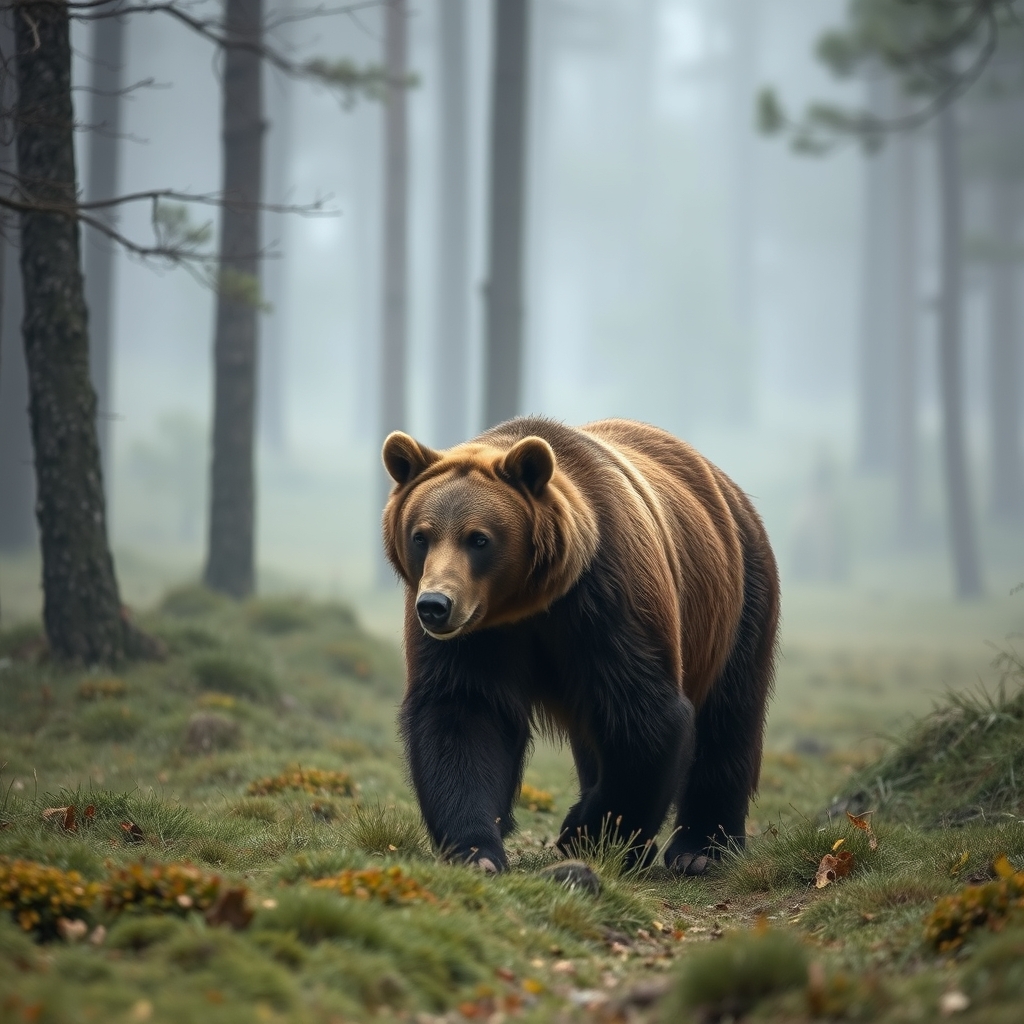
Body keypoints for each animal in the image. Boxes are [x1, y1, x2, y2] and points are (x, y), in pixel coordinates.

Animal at [381, 417, 779, 875]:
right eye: (421, 536)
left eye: (478, 538)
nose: (435, 605)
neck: (525, 603)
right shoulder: (478, 637)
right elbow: (462, 715)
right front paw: (477, 852)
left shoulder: (604, 601)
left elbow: (644, 715)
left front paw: (585, 832)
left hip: (737, 598)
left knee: (728, 715)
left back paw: (702, 848)